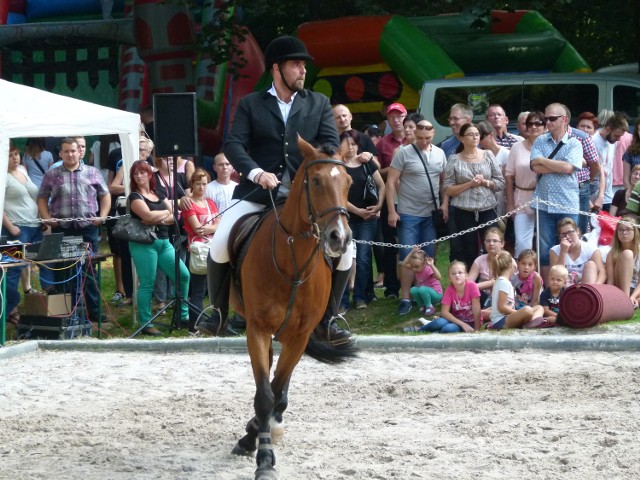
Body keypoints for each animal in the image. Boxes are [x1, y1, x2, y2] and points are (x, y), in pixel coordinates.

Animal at [228, 136, 356, 480]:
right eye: (316, 181)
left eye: (349, 182)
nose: (340, 238)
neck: (293, 263)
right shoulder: (258, 330)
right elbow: (265, 395)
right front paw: (262, 458)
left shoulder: (299, 336)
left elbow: (278, 393)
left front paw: (257, 433)